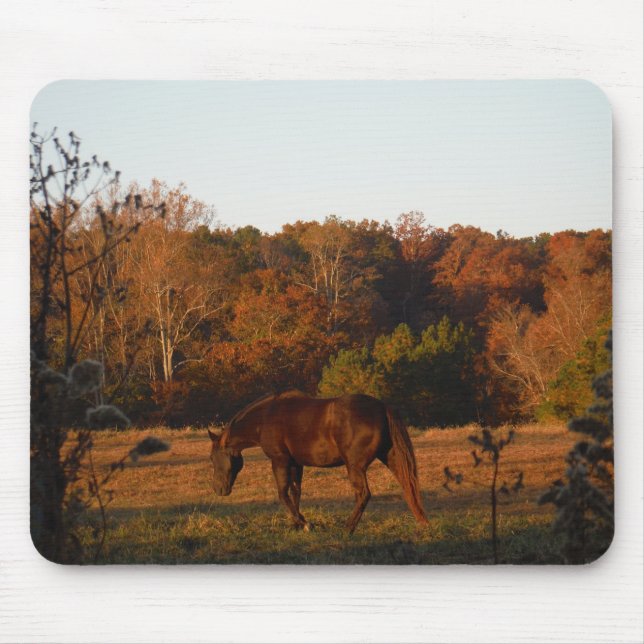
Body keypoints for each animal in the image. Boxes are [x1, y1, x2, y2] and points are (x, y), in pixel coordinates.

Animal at [207, 390, 429, 533]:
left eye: (212, 458)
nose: (218, 489)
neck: (266, 417)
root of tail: (382, 407)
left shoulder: (280, 461)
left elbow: (283, 494)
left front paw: (305, 524)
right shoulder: (296, 464)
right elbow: (295, 493)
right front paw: (297, 524)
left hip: (355, 467)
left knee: (363, 494)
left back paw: (347, 529)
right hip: (391, 458)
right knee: (408, 486)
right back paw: (422, 522)